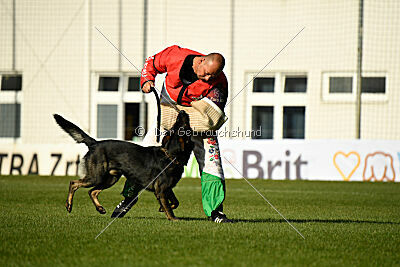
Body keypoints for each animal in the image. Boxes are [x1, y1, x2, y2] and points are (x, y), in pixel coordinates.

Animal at [53, 111, 194, 222]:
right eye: (183, 124)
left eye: (176, 124)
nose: (182, 111)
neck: (170, 155)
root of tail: (94, 143)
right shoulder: (161, 189)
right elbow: (169, 208)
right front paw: (173, 219)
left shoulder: (167, 189)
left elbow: (175, 202)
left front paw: (161, 208)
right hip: (96, 177)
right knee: (74, 183)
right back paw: (69, 205)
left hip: (110, 179)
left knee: (92, 191)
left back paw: (100, 208)